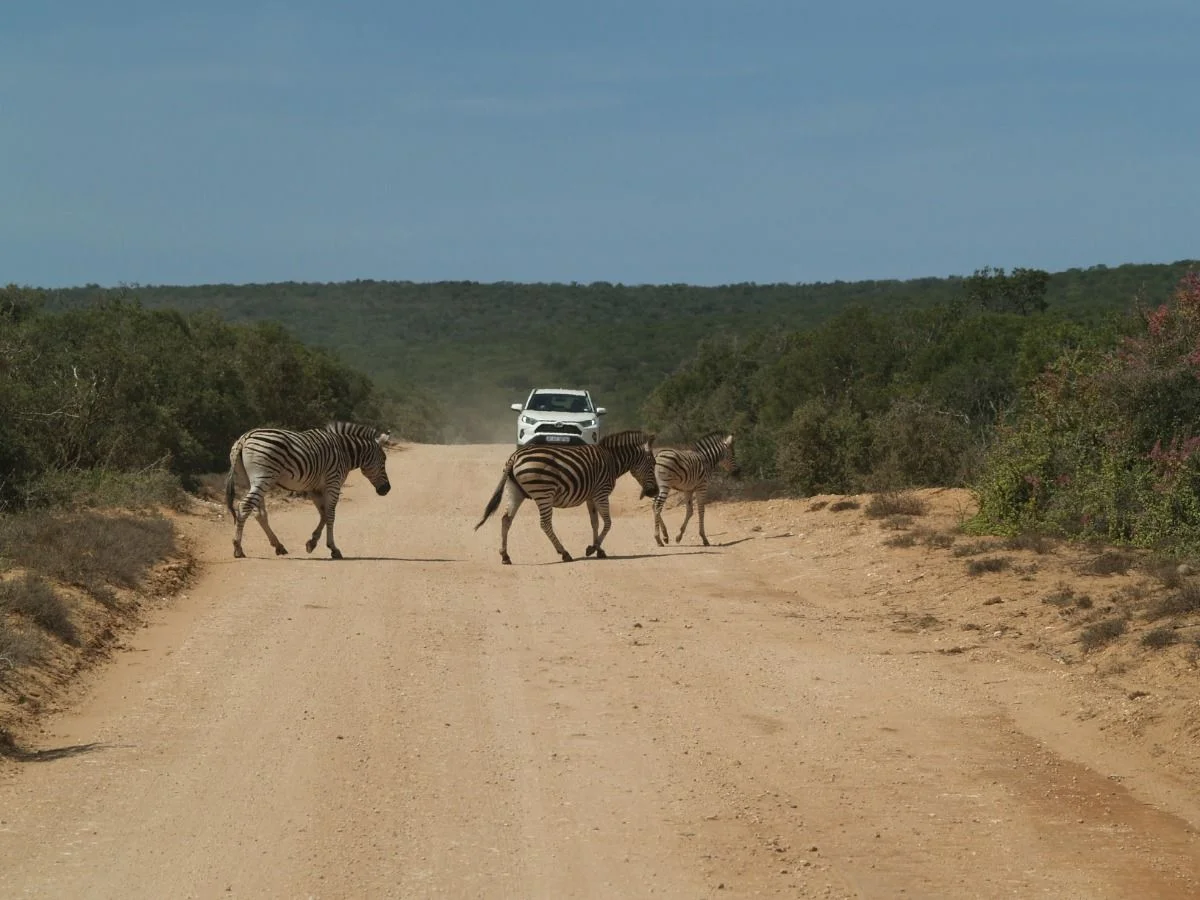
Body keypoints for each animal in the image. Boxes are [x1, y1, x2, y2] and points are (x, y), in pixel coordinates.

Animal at [225, 421, 392, 560]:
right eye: (384, 459)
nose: (387, 489)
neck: (344, 451)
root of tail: (245, 437)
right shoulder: (333, 483)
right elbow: (330, 515)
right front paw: (333, 549)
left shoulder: (315, 488)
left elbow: (323, 514)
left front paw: (312, 543)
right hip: (263, 477)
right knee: (244, 506)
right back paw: (238, 548)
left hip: (250, 481)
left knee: (259, 513)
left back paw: (278, 546)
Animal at [475, 430, 657, 564]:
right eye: (653, 464)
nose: (654, 492)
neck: (611, 459)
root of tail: (515, 457)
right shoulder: (601, 492)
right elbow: (608, 522)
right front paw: (593, 548)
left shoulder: (591, 496)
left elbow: (595, 522)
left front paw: (597, 548)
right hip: (544, 492)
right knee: (545, 523)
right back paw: (564, 553)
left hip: (515, 491)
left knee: (506, 519)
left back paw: (505, 556)